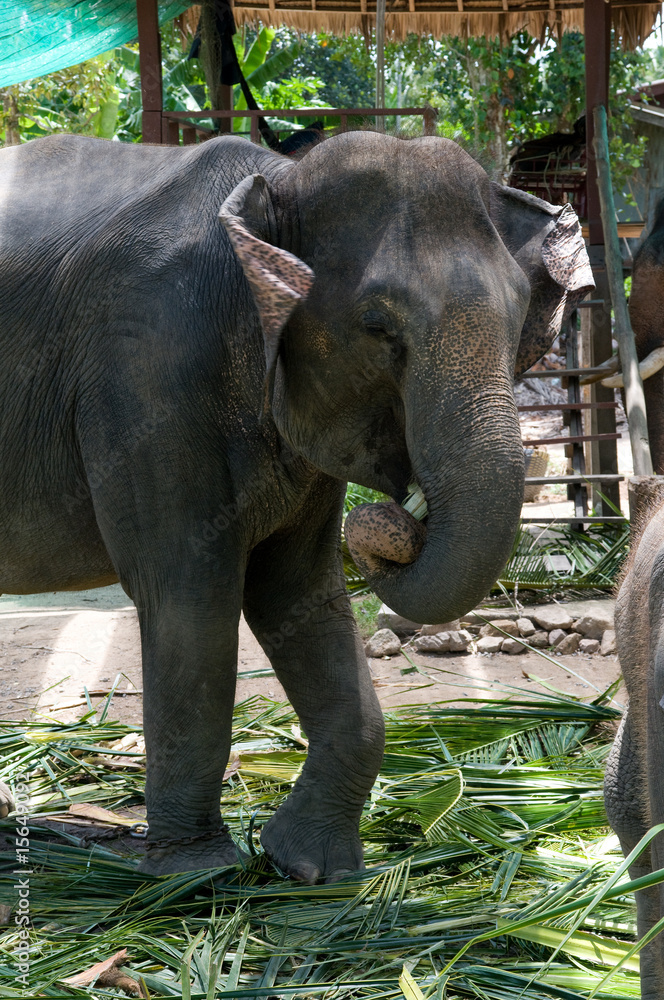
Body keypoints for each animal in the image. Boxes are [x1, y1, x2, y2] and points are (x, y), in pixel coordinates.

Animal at [0, 131, 593, 879]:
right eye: (377, 326)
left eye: (520, 319)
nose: (399, 515)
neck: (279, 181)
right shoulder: (144, 375)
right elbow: (189, 594)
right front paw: (199, 874)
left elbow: (299, 591)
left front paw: (311, 867)